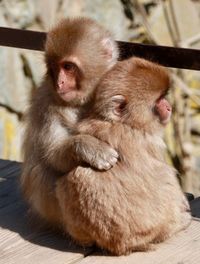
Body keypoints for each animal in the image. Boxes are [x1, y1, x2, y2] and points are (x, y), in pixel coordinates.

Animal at [20, 17, 119, 226]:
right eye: (54, 68)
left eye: (68, 67)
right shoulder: (45, 105)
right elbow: (53, 155)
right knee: (42, 171)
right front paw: (89, 147)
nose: (59, 83)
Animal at [55, 57, 191, 256]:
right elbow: (166, 178)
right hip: (154, 229)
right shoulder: (151, 141)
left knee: (68, 179)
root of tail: (120, 244)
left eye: (164, 97)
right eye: (159, 100)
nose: (168, 106)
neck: (122, 123)